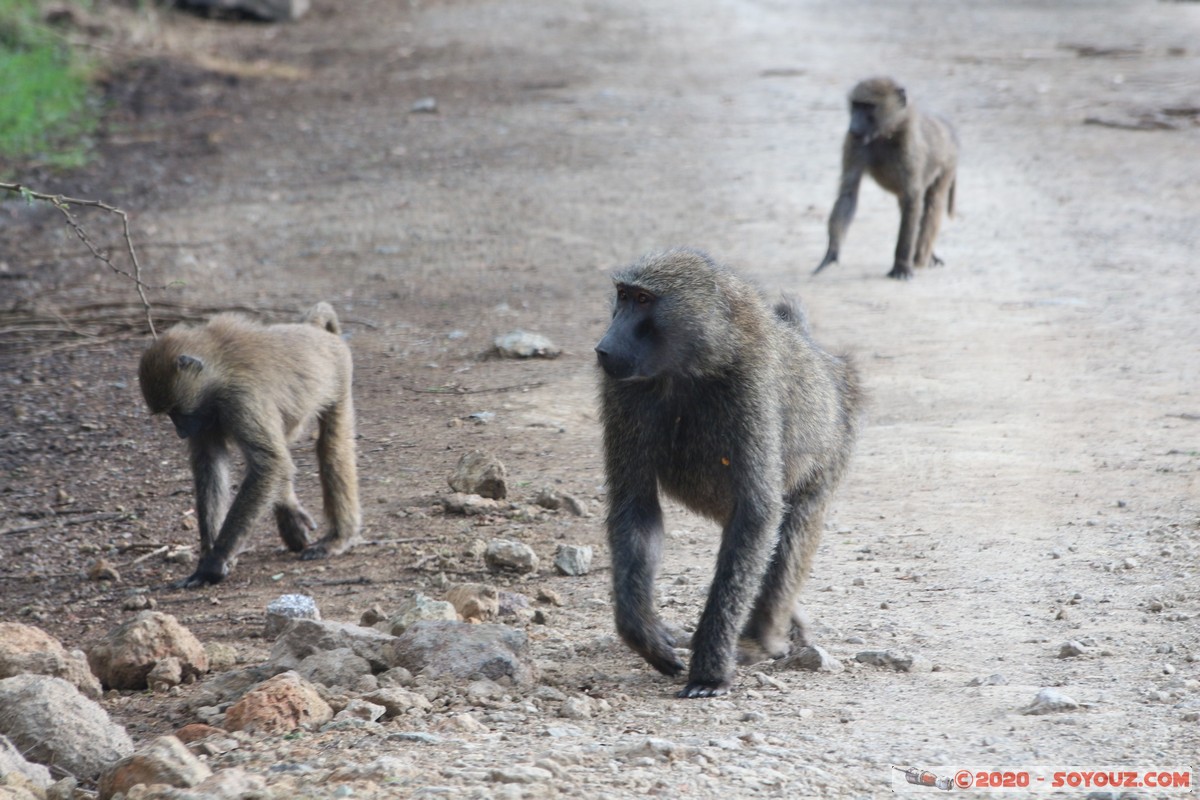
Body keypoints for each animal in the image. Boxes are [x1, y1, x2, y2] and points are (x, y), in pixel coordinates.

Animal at [138, 302, 361, 588]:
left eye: (176, 411)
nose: (180, 432)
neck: (218, 369)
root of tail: (313, 330)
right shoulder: (205, 416)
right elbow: (212, 468)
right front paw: (208, 557)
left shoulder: (240, 399)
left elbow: (269, 463)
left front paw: (213, 563)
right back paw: (290, 516)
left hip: (339, 374)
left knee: (330, 449)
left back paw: (339, 538)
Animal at [595, 248, 861, 698]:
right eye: (623, 296)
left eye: (644, 300)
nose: (603, 348)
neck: (689, 368)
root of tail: (827, 363)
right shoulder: (622, 391)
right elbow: (636, 509)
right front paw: (644, 633)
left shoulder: (751, 386)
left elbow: (756, 514)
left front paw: (710, 670)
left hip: (833, 450)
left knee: (787, 529)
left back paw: (762, 638)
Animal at [813, 76, 957, 280]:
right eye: (856, 105)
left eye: (868, 107)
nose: (853, 126)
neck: (885, 134)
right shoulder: (854, 143)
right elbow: (848, 192)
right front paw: (831, 252)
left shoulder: (909, 146)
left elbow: (913, 199)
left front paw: (902, 266)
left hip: (948, 164)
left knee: (931, 204)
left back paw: (920, 257)